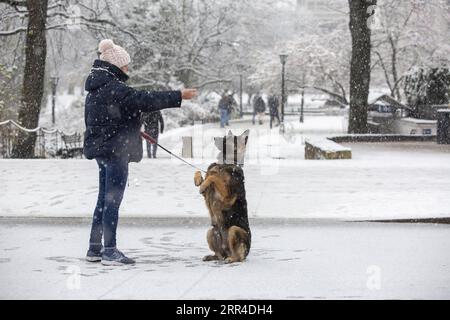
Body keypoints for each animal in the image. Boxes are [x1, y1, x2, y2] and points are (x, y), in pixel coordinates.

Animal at [193, 130, 250, 262]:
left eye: (227, 139)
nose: (214, 138)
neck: (225, 163)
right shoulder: (206, 195)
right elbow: (200, 173)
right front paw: (199, 181)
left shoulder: (227, 197)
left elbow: (214, 177)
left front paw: (205, 183)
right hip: (211, 232)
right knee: (219, 255)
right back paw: (212, 256)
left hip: (234, 230)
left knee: (238, 257)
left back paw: (232, 259)